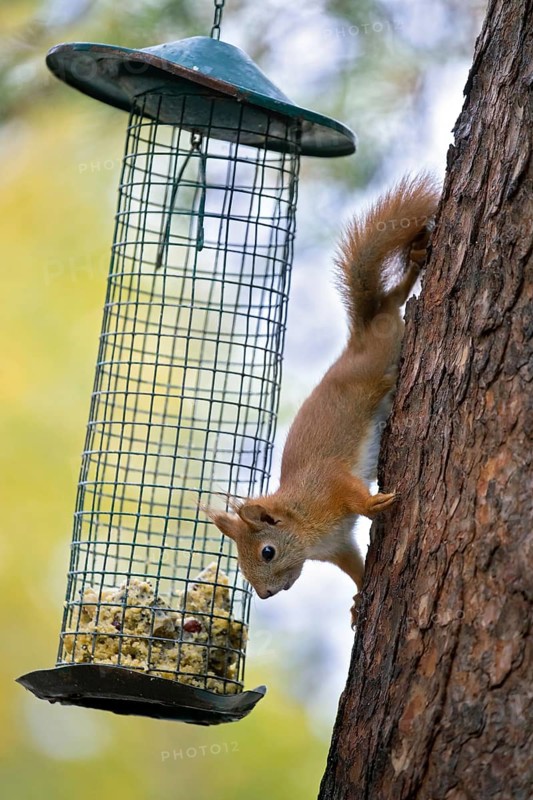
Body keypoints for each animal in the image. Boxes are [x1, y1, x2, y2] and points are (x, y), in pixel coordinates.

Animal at [205, 175, 440, 626]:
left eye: (267, 551)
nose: (264, 596)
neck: (303, 520)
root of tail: (360, 336)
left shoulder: (329, 483)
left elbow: (352, 492)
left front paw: (374, 502)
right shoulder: (338, 546)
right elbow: (355, 568)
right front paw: (358, 599)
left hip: (380, 360)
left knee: (392, 307)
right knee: (391, 301)